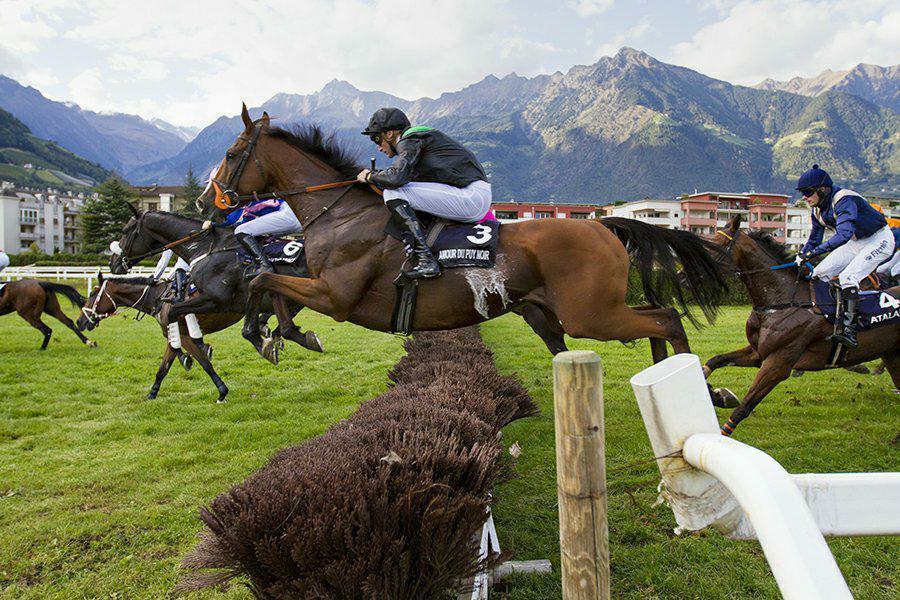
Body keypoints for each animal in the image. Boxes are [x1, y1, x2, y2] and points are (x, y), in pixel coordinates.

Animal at [197, 105, 732, 364]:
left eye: (230, 152)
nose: (205, 202)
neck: (338, 212)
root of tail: (600, 224)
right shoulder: (315, 282)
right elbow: (263, 279)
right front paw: (275, 333)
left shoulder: (336, 295)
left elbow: (264, 279)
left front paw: (275, 333)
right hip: (564, 313)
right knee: (656, 319)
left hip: (590, 315)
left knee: (666, 318)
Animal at [704, 216, 900, 436]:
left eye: (713, 247)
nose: (684, 274)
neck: (782, 300)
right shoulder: (757, 352)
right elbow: (714, 360)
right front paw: (715, 393)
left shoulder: (778, 363)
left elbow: (745, 406)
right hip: (893, 355)